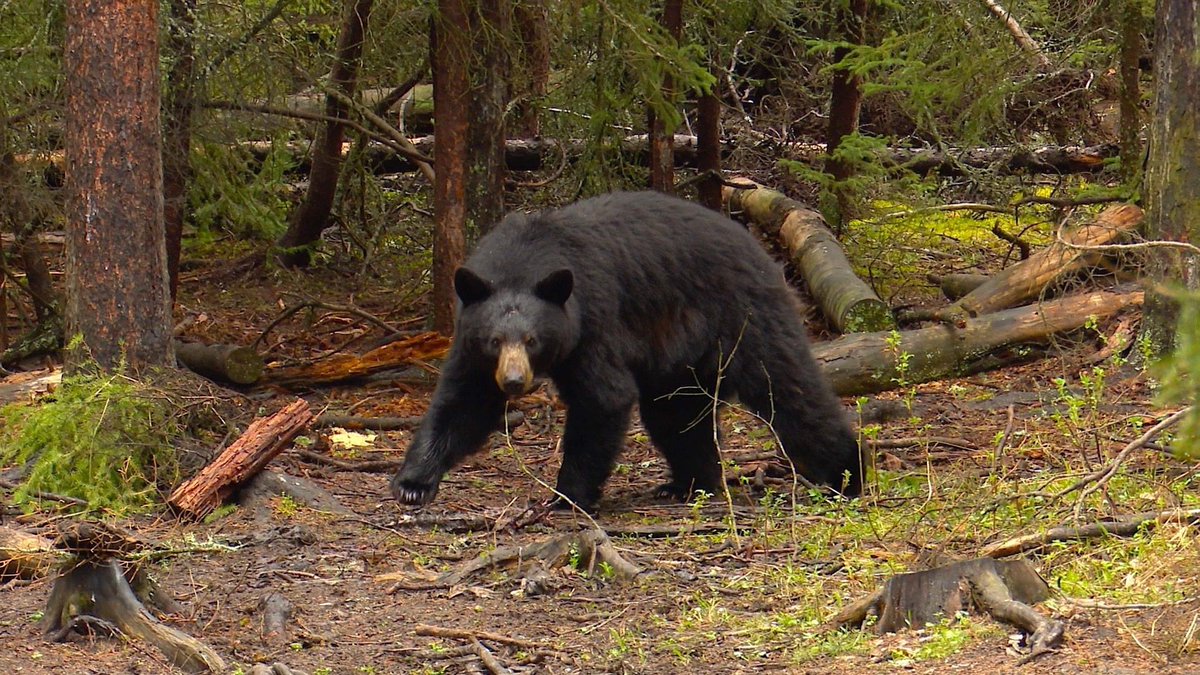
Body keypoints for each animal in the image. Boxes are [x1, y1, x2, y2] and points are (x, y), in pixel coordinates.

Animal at [391, 191, 862, 510]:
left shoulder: (593, 322)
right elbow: (463, 403)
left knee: (787, 388)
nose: (513, 381)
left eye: (533, 340)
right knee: (677, 416)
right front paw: (413, 482)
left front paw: (566, 495)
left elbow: (603, 398)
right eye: (494, 340)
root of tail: (761, 251)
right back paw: (690, 483)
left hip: (745, 316)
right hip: (681, 362)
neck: (524, 258)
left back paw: (847, 474)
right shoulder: (471, 340)